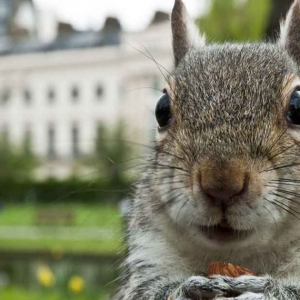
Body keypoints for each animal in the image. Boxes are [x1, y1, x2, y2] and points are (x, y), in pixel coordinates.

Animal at [114, 0, 300, 300]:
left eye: (298, 106)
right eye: (161, 110)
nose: (221, 185)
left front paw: (262, 290)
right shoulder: (149, 254)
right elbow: (147, 292)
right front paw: (185, 290)